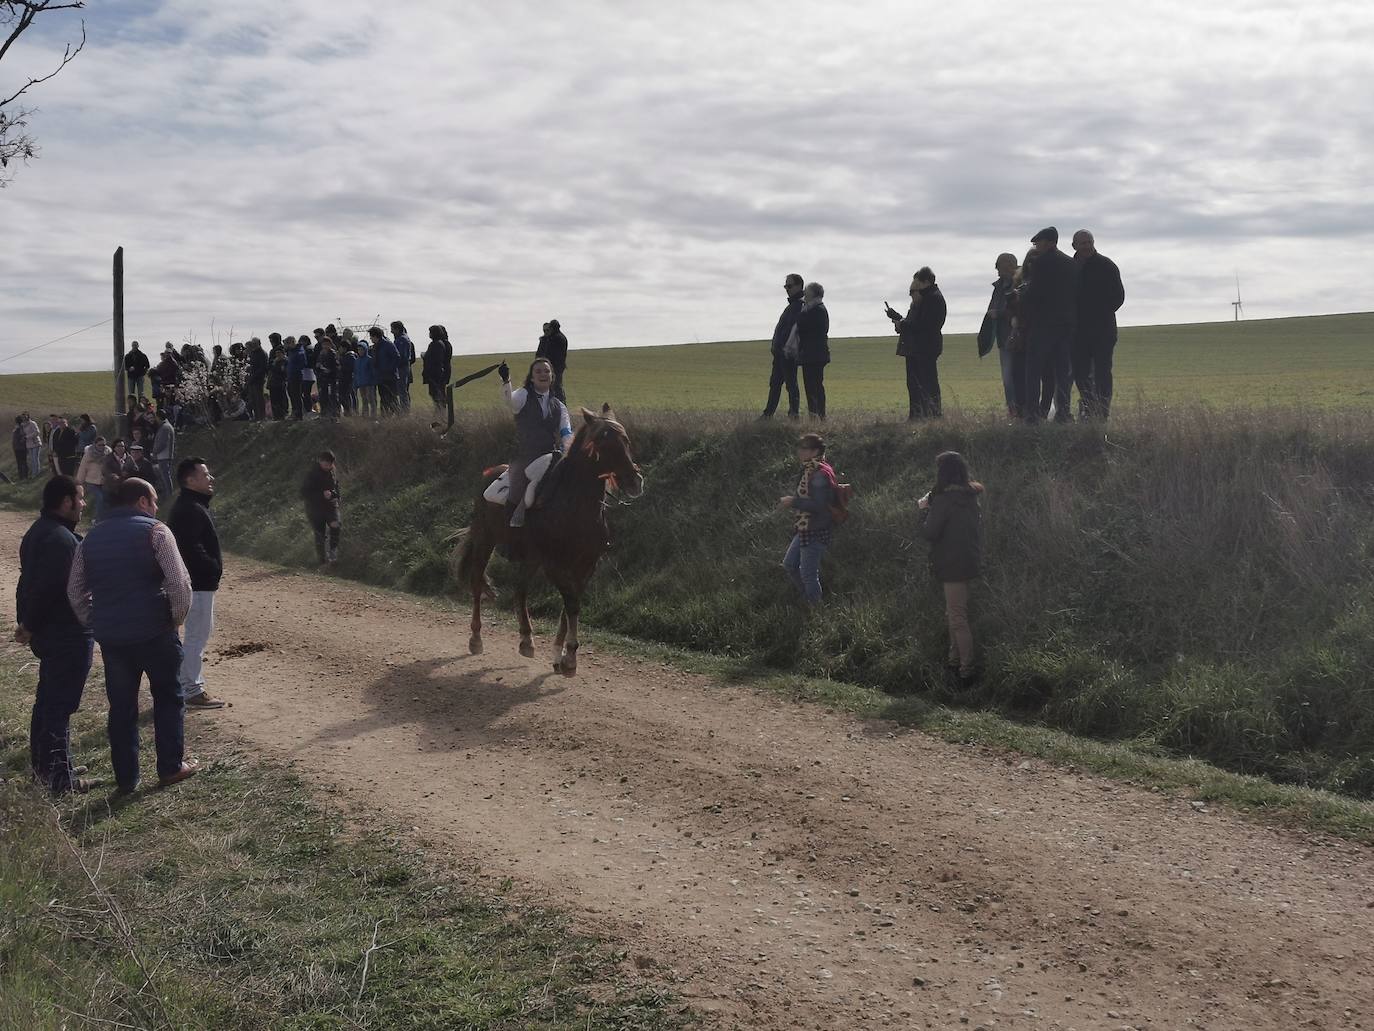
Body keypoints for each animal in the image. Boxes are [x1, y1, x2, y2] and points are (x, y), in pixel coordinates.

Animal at [453, 404, 640, 679]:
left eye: (625, 440)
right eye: (602, 444)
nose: (634, 481)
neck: (576, 506)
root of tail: (491, 473)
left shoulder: (586, 566)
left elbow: (569, 605)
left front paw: (559, 655)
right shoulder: (554, 565)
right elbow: (571, 604)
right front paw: (569, 656)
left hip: (530, 558)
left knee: (520, 590)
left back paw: (526, 639)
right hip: (486, 540)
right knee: (478, 582)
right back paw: (476, 638)